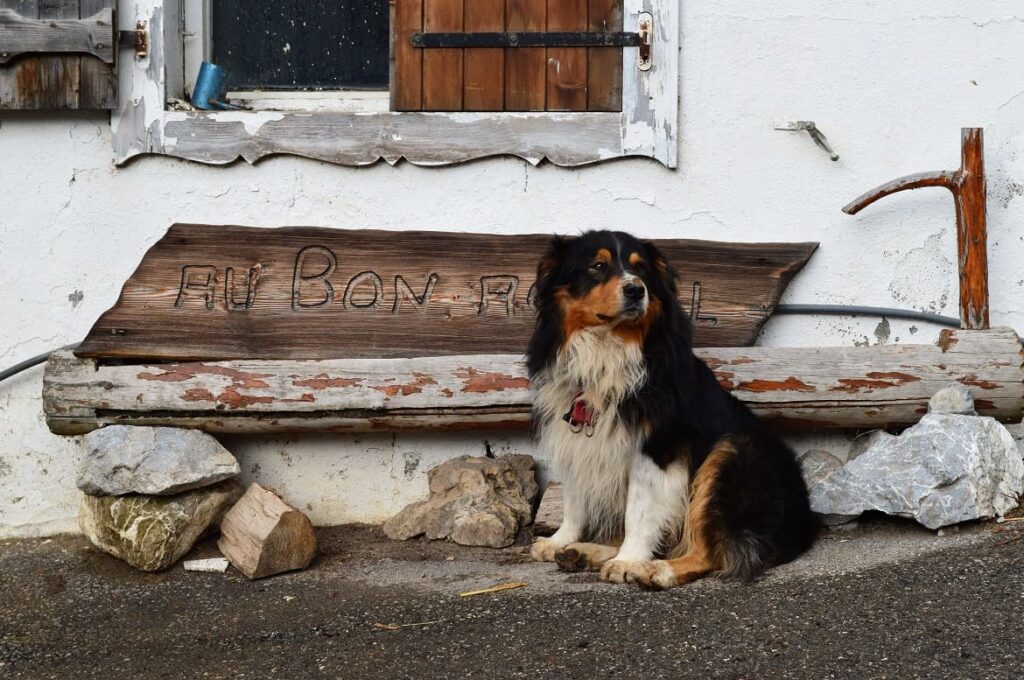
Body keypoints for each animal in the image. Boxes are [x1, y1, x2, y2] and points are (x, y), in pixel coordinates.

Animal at [528, 231, 815, 585]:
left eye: (641, 268)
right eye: (597, 266)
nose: (636, 290)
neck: (607, 347)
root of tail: (806, 524)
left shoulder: (657, 447)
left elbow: (639, 510)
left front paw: (629, 561)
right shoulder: (575, 436)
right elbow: (574, 499)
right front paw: (560, 540)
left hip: (731, 452)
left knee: (711, 552)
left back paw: (657, 569)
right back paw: (581, 553)